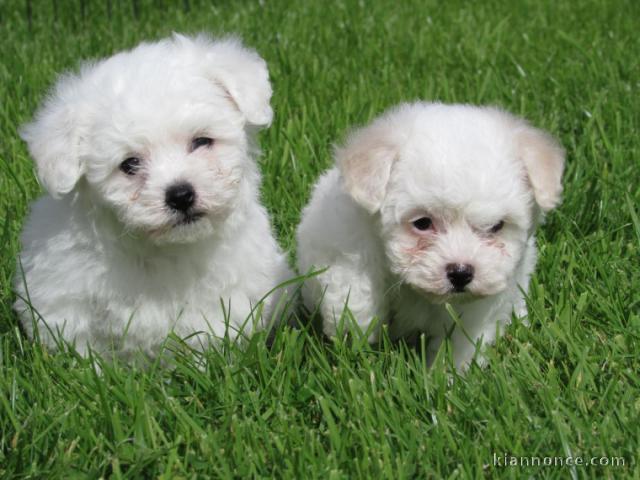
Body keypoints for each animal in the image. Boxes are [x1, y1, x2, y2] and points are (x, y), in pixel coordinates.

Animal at [15, 33, 292, 356]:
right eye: (129, 164)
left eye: (202, 141)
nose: (181, 195)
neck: (161, 250)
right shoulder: (63, 300)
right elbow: (81, 349)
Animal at [298, 103, 564, 370]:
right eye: (422, 223)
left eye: (496, 226)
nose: (460, 273)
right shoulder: (346, 240)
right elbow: (355, 290)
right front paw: (357, 336)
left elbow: (461, 338)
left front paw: (449, 373)